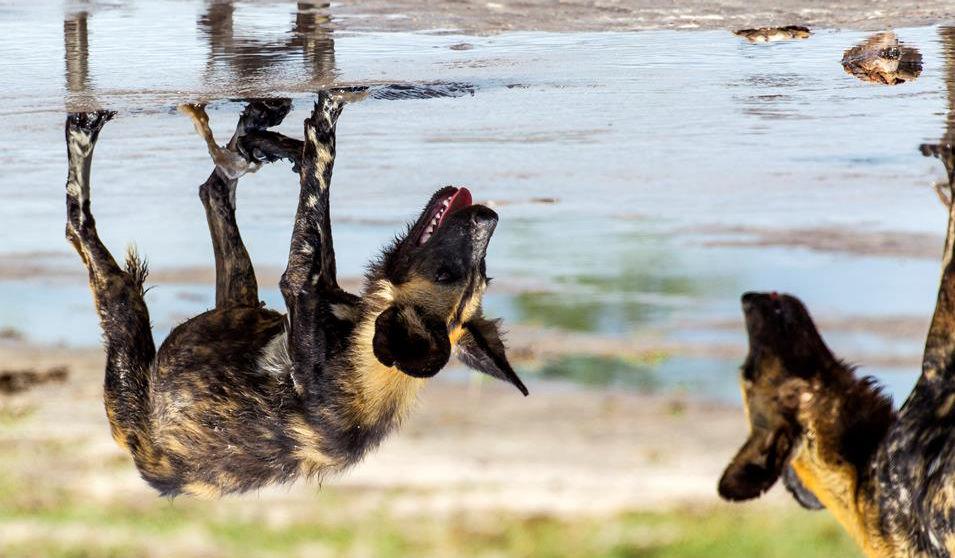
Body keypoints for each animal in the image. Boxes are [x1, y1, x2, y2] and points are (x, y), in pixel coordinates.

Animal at [65, 92, 532, 498]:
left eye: (445, 272)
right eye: (478, 273)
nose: (489, 216)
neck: (361, 346)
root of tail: (148, 467)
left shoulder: (299, 283)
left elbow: (317, 189)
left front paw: (324, 125)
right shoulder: (318, 287)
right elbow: (317, 210)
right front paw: (297, 143)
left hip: (128, 326)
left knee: (79, 223)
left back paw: (84, 134)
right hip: (239, 301)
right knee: (216, 189)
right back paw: (255, 131)